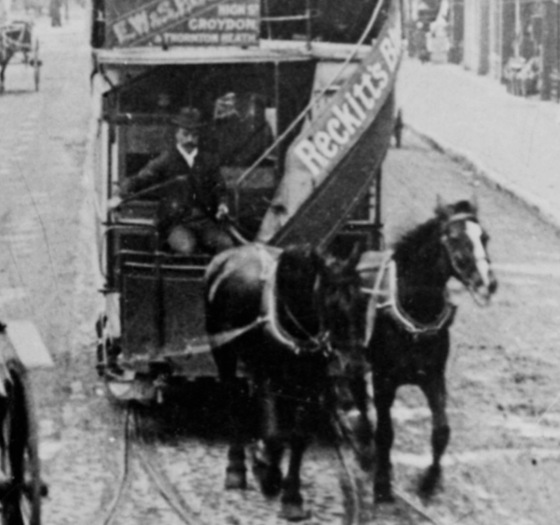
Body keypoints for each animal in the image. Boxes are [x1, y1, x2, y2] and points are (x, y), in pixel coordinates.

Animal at [203, 243, 366, 520]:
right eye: (330, 304)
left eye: (361, 303)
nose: (353, 366)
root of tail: (227, 255)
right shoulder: (274, 372)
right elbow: (276, 429)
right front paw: (270, 476)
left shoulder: (313, 381)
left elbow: (298, 435)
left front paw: (291, 496)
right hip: (223, 351)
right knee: (234, 400)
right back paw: (236, 468)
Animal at [356, 199, 496, 502]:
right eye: (454, 239)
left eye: (485, 238)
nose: (487, 284)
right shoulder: (383, 379)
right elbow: (385, 432)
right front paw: (382, 482)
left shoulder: (433, 376)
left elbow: (442, 431)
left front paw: (430, 480)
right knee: (356, 393)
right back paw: (364, 444)